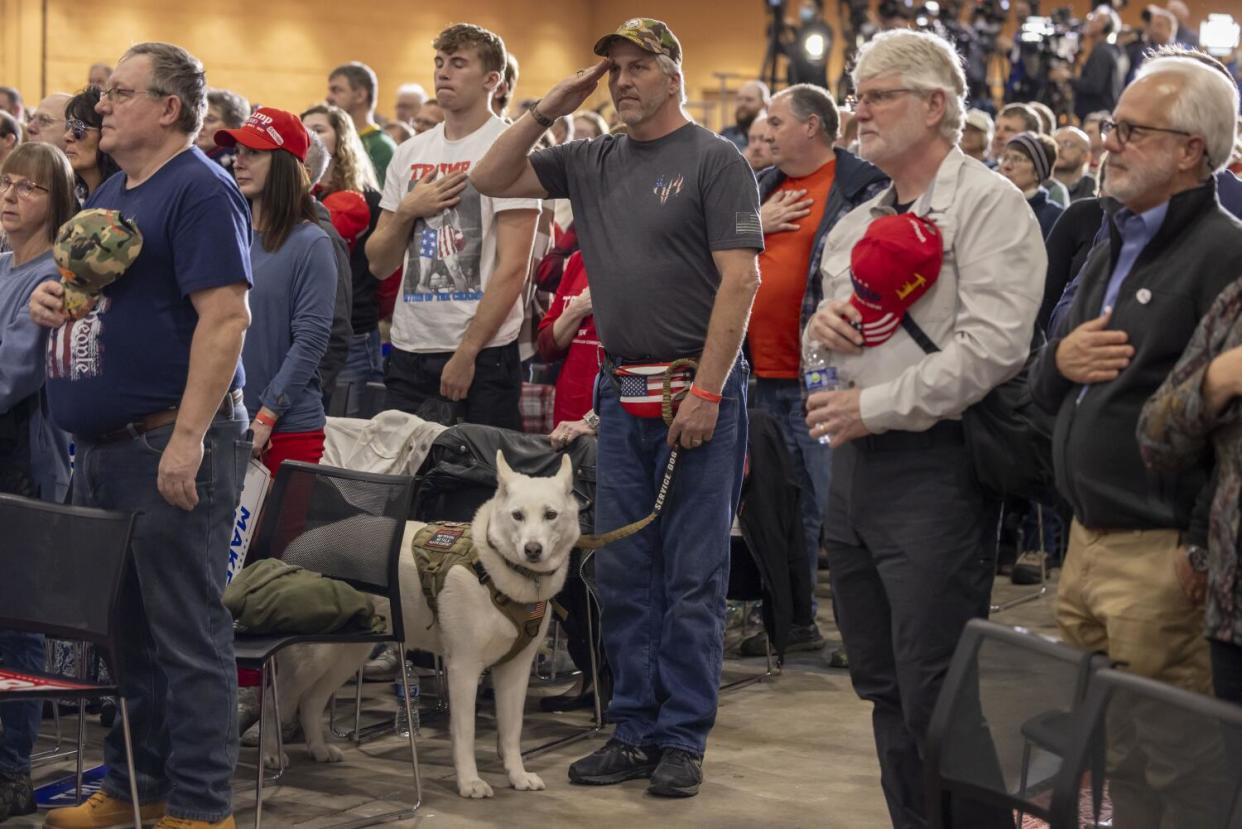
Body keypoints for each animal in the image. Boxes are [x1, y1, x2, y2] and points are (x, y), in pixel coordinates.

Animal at [262, 449, 581, 800]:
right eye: (517, 516)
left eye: (550, 515)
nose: (533, 550)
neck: (499, 569)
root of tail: (300, 541)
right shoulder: (463, 668)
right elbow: (466, 733)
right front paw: (469, 782)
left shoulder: (515, 670)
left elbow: (512, 732)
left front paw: (517, 775)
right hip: (312, 658)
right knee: (277, 701)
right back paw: (271, 755)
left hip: (347, 655)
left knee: (310, 701)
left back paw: (318, 749)